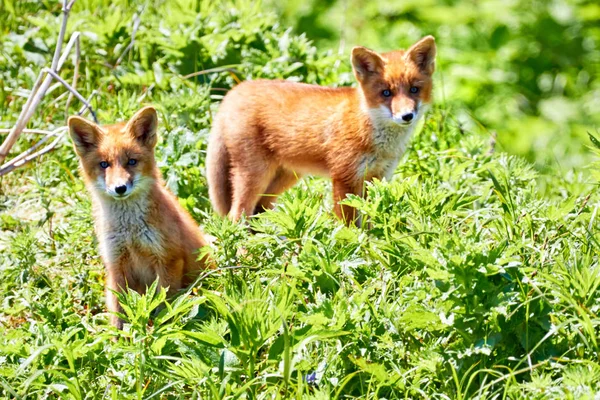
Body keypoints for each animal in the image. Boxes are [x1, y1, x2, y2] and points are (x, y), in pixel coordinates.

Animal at [68, 106, 212, 328]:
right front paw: (120, 337)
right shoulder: (116, 265)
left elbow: (164, 306)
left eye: (131, 161)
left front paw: (161, 328)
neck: (130, 232)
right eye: (104, 164)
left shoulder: (168, 259)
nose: (120, 188)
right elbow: (119, 312)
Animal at [206, 35, 436, 225]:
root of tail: (235, 90)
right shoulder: (344, 177)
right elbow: (350, 225)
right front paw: (354, 245)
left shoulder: (377, 178)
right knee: (237, 214)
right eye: (386, 93)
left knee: (259, 209)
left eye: (414, 89)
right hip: (255, 174)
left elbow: (370, 219)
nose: (407, 116)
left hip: (285, 177)